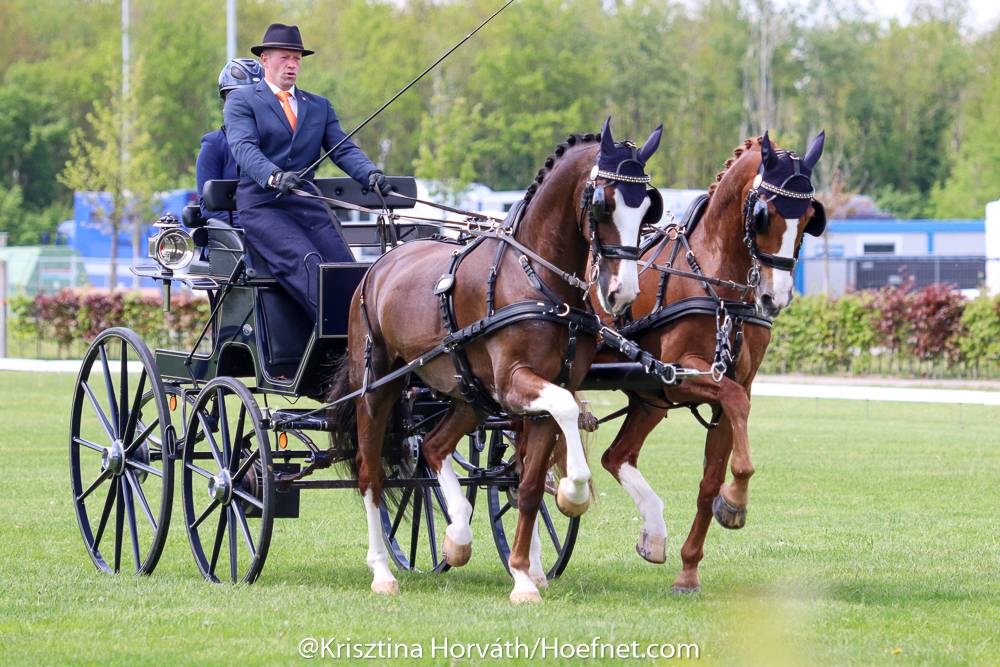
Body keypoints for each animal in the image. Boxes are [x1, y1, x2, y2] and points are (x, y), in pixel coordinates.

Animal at [328, 117, 664, 603]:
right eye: (604, 205)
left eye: (647, 210)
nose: (622, 294)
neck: (537, 281)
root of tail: (380, 263)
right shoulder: (515, 383)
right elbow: (566, 411)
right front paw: (572, 494)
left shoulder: (544, 389)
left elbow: (528, 486)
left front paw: (523, 574)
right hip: (377, 389)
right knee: (371, 475)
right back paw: (382, 572)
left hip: (470, 396)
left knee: (433, 447)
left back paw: (457, 536)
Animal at [595, 130, 826, 593]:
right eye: (763, 214)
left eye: (810, 216)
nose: (775, 298)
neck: (715, 280)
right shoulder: (677, 373)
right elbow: (737, 401)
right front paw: (735, 501)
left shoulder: (715, 386)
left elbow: (709, 480)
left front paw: (690, 566)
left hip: (648, 400)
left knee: (616, 456)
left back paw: (653, 536)